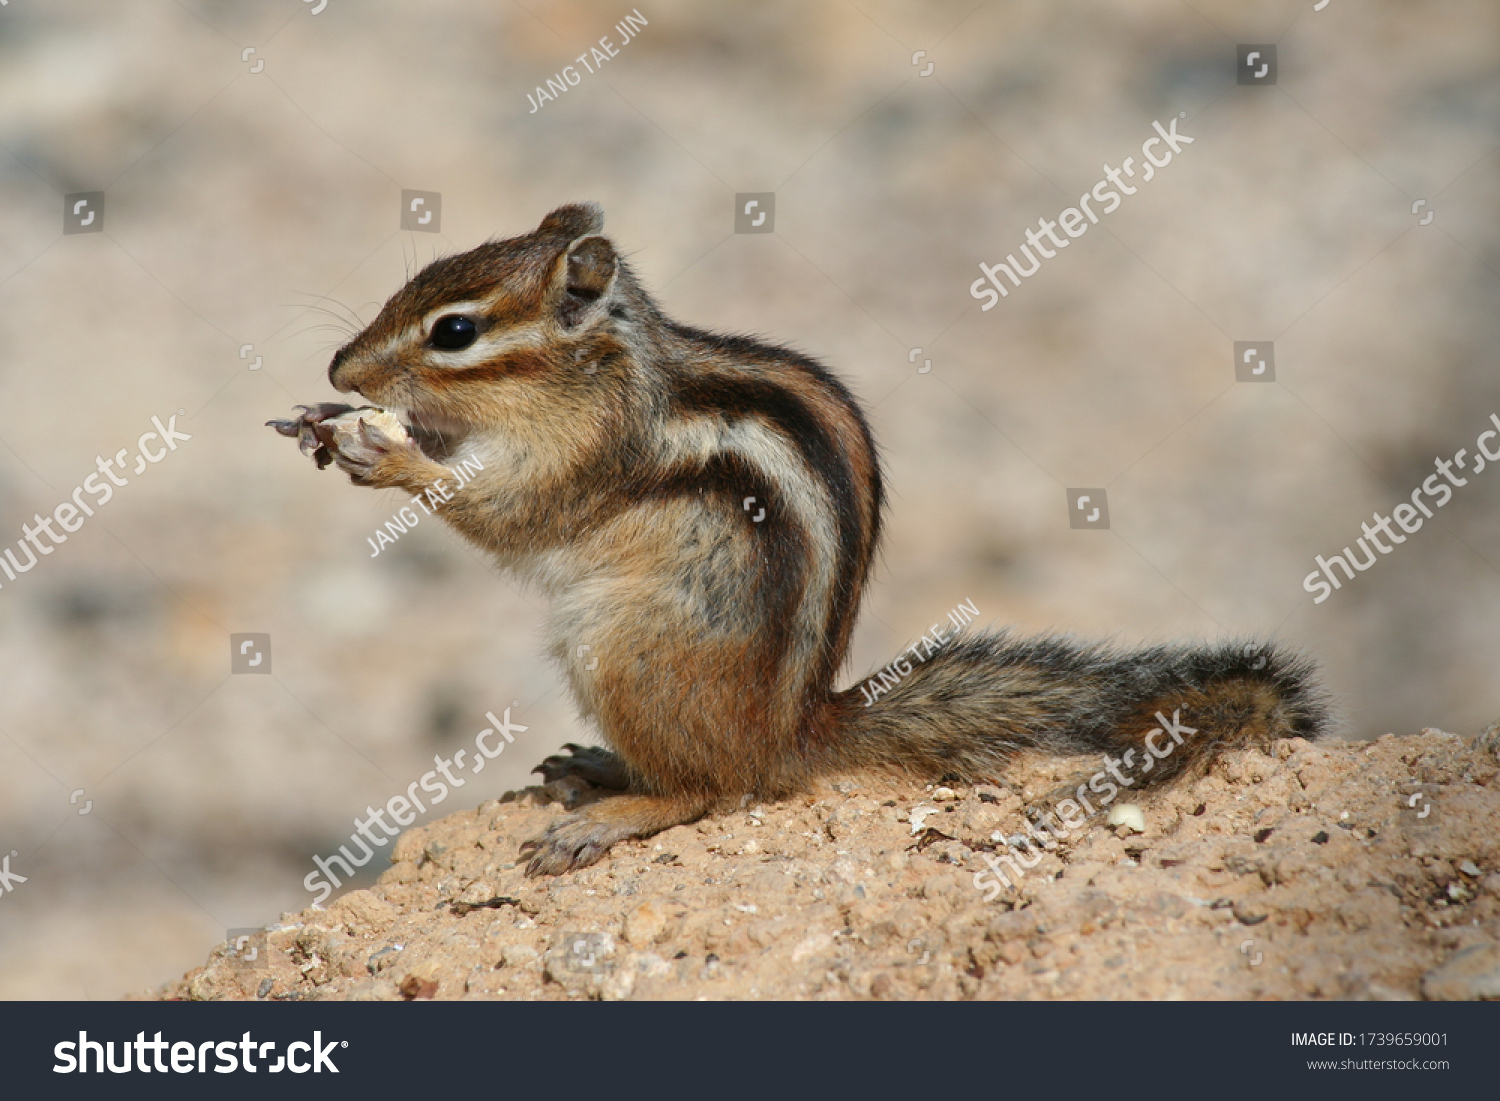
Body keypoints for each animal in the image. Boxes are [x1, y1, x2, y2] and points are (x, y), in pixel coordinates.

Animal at [267, 202, 1326, 876]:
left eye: (453, 331)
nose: (339, 366)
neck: (604, 369)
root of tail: (795, 732)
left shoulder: (589, 460)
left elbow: (504, 514)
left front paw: (385, 456)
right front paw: (329, 421)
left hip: (621, 650)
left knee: (714, 789)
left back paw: (614, 811)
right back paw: (597, 770)